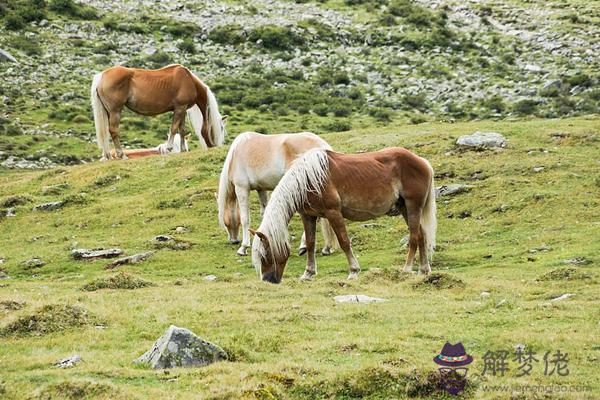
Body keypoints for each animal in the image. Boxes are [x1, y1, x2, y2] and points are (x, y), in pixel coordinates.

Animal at [90, 64, 226, 161]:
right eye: (221, 128)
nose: (216, 145)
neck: (189, 80)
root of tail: (101, 76)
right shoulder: (180, 108)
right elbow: (174, 128)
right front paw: (169, 148)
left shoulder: (182, 109)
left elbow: (182, 130)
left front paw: (183, 150)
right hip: (115, 111)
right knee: (113, 131)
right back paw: (122, 155)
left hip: (108, 112)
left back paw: (106, 156)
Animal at [251, 148, 438, 284]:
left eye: (266, 254)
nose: (268, 280)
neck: (307, 180)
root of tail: (422, 162)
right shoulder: (308, 216)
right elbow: (310, 244)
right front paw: (308, 273)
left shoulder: (333, 213)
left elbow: (344, 241)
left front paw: (354, 272)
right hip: (404, 207)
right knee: (421, 235)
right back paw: (423, 270)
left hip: (413, 206)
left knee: (414, 237)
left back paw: (406, 269)